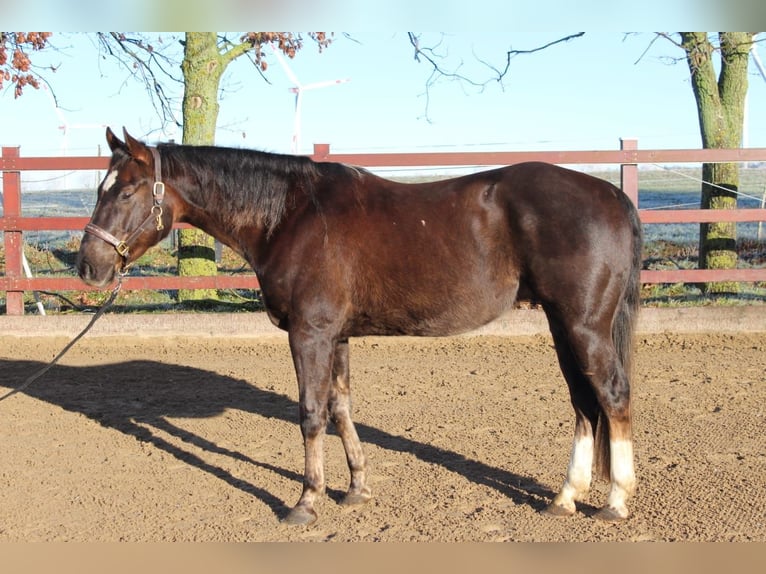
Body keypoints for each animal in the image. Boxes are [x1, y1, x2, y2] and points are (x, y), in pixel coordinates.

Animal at [78, 128, 644, 528]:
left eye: (125, 192)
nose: (88, 265)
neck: (291, 214)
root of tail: (611, 196)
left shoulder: (310, 334)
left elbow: (310, 415)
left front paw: (306, 501)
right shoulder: (339, 335)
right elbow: (340, 408)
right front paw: (355, 489)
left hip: (584, 325)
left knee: (612, 395)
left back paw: (615, 500)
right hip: (562, 324)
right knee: (583, 402)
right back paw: (565, 497)